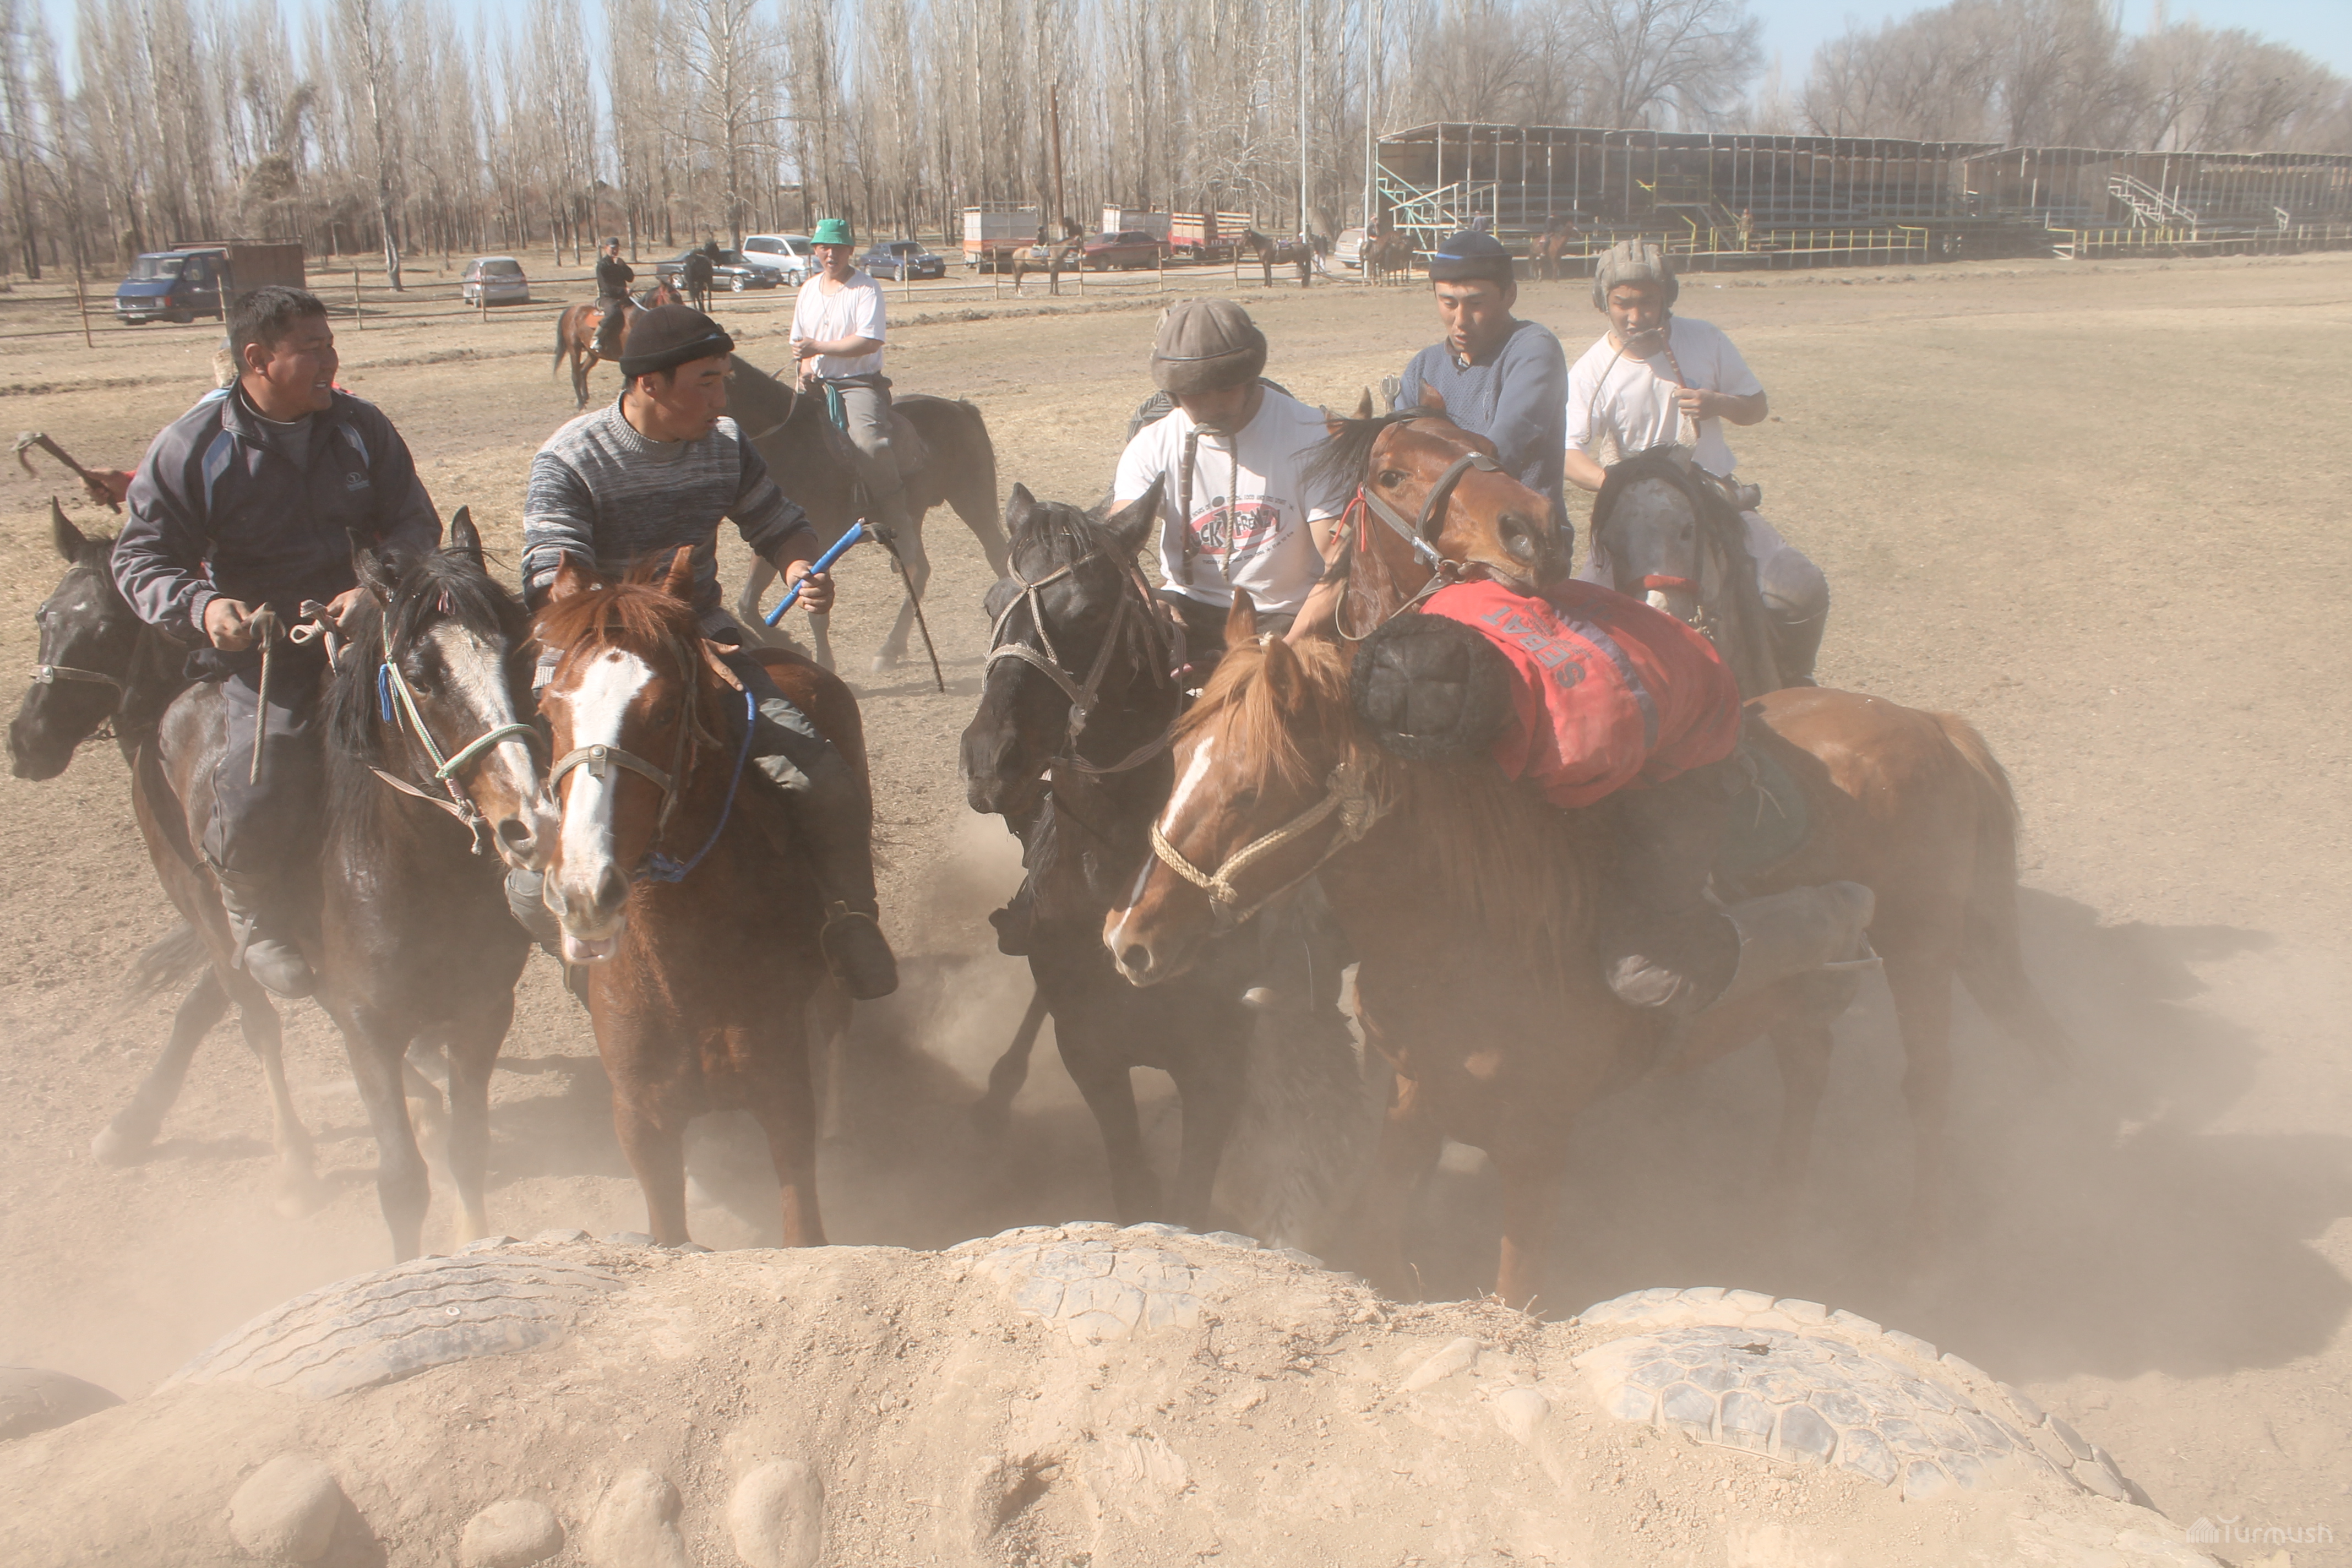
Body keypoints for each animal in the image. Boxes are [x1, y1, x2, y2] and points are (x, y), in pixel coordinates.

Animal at [533, 549, 863, 1246]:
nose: (585, 889)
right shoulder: (641, 1120)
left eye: (662, 712)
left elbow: (803, 1223)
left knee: (837, 1010)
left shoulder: (783, 1094)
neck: (682, 969)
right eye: (550, 711)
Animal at [553, 277, 685, 409]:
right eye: (673, 296)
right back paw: (580, 403)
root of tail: (571, 310)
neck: (635, 320)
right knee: (575, 374)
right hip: (574, 349)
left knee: (583, 370)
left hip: (593, 354)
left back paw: (585, 397)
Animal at [724, 356, 1012, 672]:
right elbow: (747, 604)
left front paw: (825, 664)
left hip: (971, 500)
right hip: (914, 517)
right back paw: (890, 649)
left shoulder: (817, 542)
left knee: (998, 557)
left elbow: (816, 614)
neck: (790, 445)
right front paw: (793, 646)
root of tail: (960, 408)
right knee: (919, 569)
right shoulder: (773, 537)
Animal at [1241, 228, 1315, 288]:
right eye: (1243, 236)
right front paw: (1265, 285)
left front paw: (1269, 285)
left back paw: (1304, 284)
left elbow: (1268, 273)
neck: (1264, 246)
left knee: (1306, 271)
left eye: (1247, 236)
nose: (1241, 244)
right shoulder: (1264, 263)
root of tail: (1304, 245)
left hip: (1300, 262)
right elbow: (1266, 273)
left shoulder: (1267, 262)